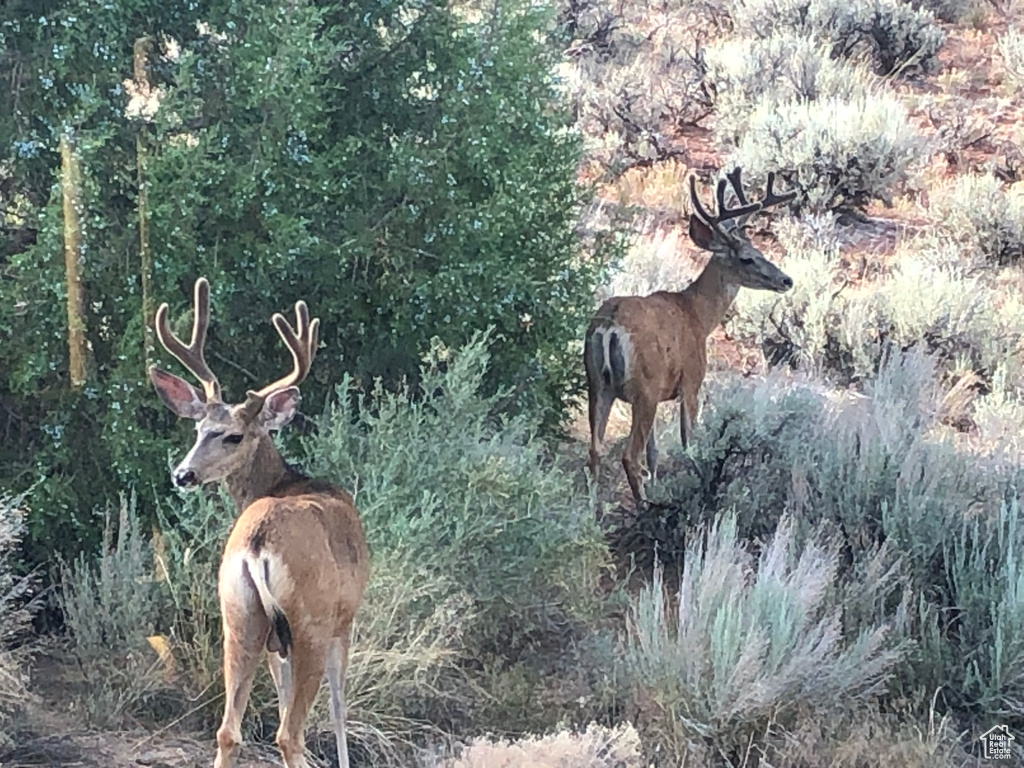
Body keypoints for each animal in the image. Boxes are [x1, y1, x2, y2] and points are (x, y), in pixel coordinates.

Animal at [144, 278, 368, 768]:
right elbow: (340, 708)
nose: (182, 474)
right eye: (198, 430)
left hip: (239, 615)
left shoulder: (271, 639)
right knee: (290, 732)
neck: (286, 482)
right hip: (309, 622)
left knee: (229, 729)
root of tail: (257, 542)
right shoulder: (344, 619)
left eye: (231, 435)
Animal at [589, 166, 794, 505]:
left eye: (760, 250)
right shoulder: (691, 383)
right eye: (747, 257)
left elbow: (655, 453)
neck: (698, 316)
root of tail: (609, 325)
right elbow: (690, 445)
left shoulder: (661, 391)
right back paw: (645, 506)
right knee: (629, 455)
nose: (786, 280)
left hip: (597, 385)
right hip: (643, 386)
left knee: (595, 451)